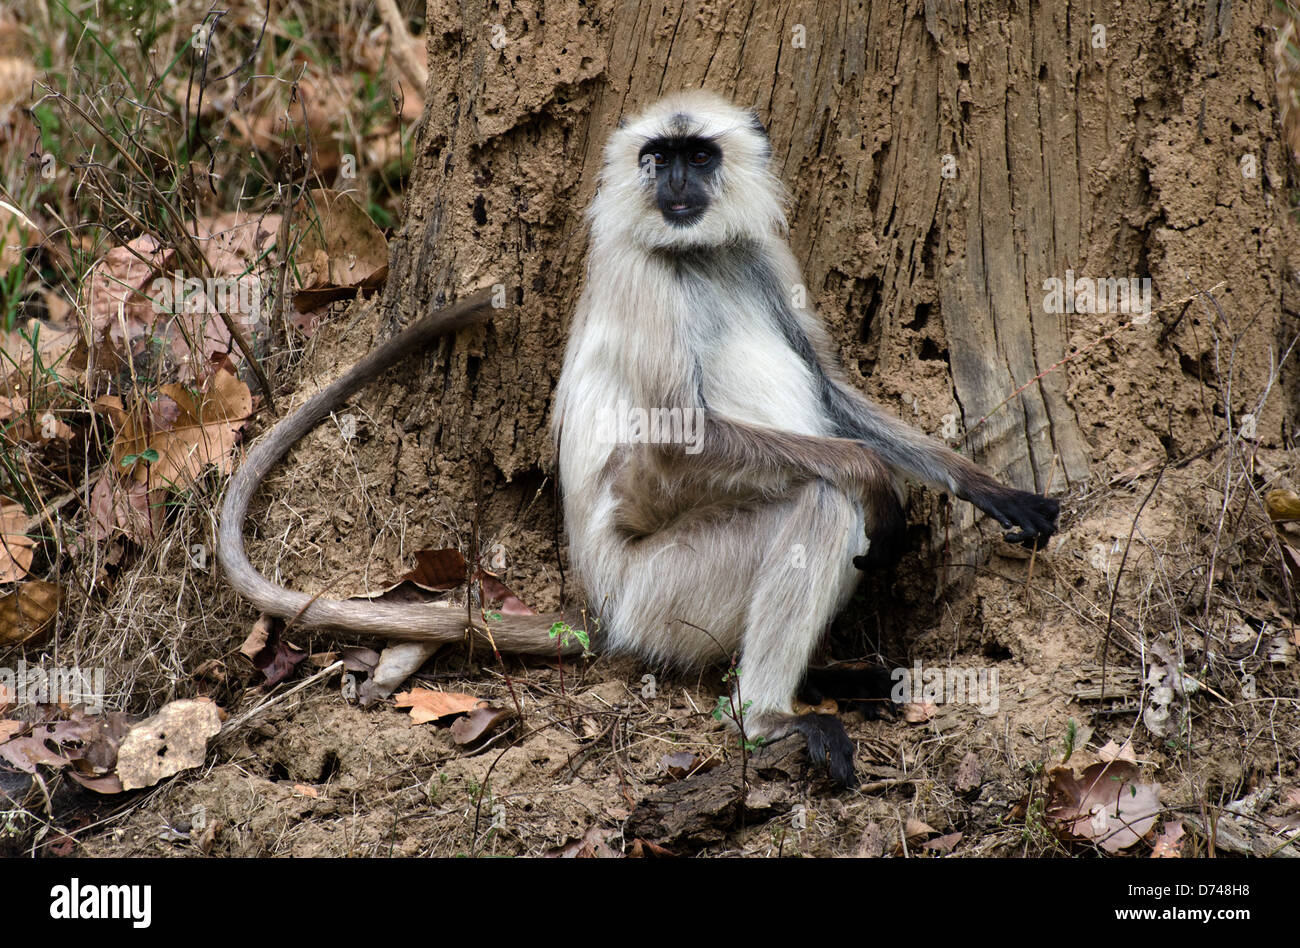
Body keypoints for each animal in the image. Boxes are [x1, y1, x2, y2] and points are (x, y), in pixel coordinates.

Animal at [218, 90, 1060, 785]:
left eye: (700, 157)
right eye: (660, 156)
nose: (675, 184)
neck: (698, 255)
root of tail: (602, 609)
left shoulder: (763, 255)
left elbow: (829, 389)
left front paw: (987, 486)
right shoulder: (644, 277)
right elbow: (679, 445)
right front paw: (879, 480)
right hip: (661, 591)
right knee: (823, 501)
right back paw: (768, 717)